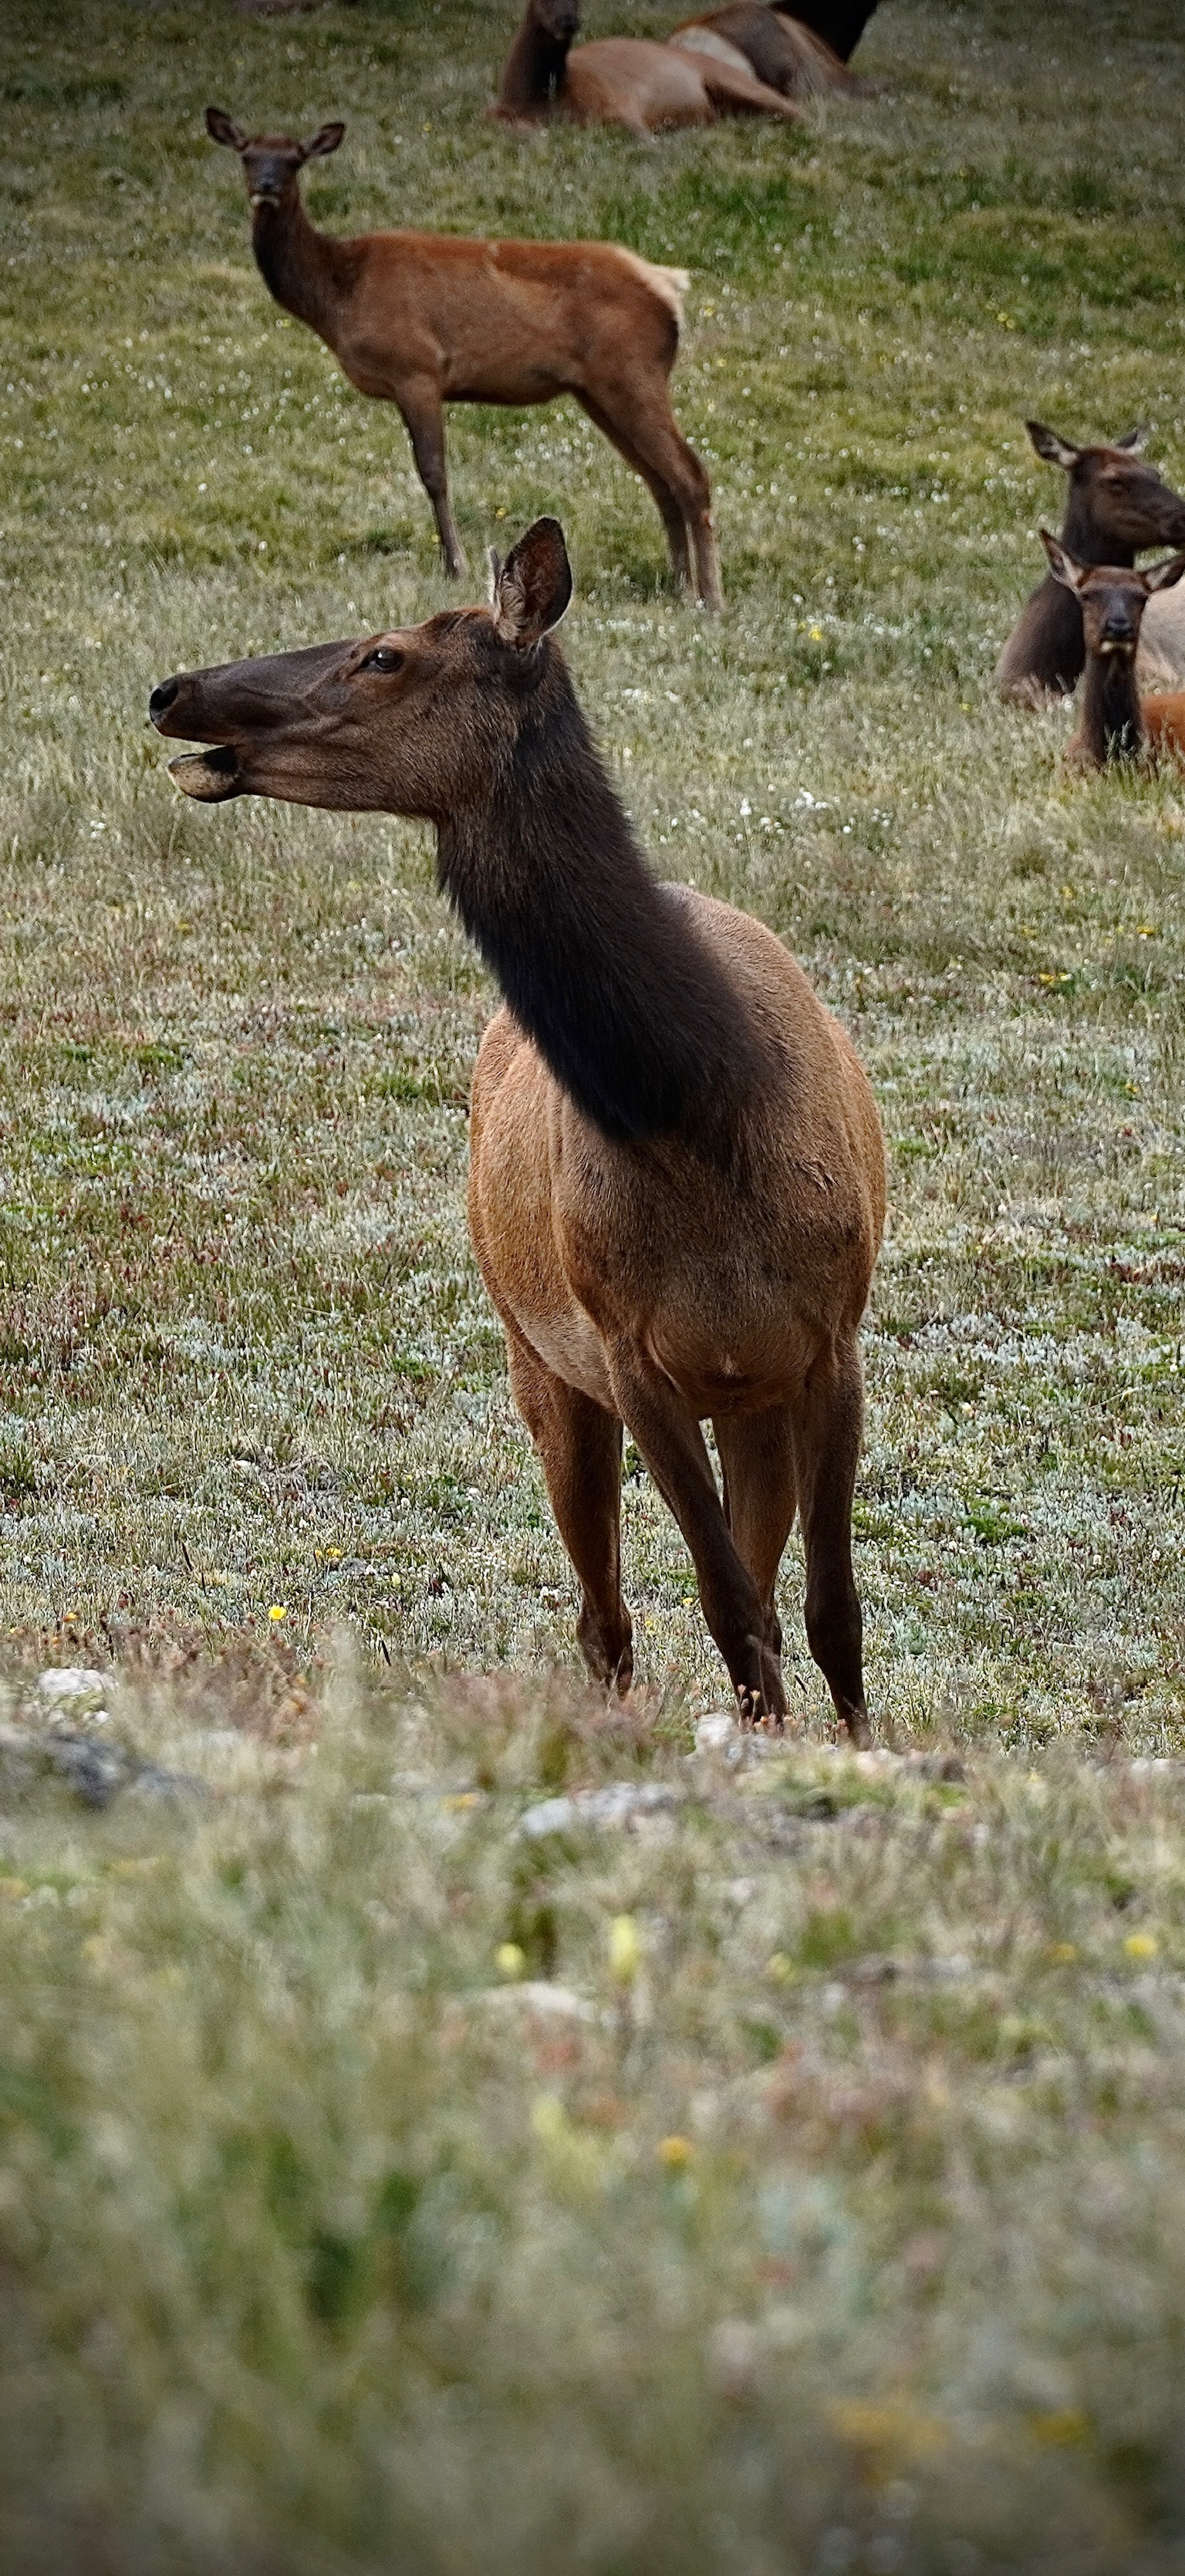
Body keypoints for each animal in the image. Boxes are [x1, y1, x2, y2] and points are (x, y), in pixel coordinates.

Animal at [149, 518, 886, 1742]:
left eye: (386, 655)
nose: (174, 690)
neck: (706, 1113)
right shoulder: (627, 1355)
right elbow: (732, 1606)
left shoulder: (831, 1340)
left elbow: (831, 1616)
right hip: (535, 1355)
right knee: (607, 1618)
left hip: (739, 1397)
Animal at [205, 109, 724, 611]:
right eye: (247, 154)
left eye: (295, 158)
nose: (266, 186)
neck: (338, 297)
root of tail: (670, 290)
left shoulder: (416, 368)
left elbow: (433, 472)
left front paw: (455, 566)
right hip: (597, 390)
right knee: (658, 480)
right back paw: (679, 586)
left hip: (632, 371)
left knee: (690, 475)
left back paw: (710, 598)